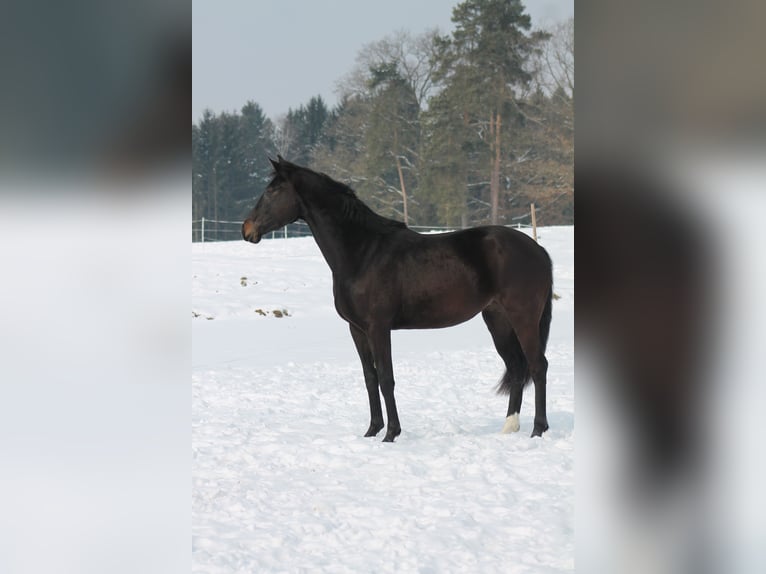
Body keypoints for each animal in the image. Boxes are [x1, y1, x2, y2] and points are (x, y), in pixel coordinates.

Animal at [243, 158, 556, 446]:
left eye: (273, 190)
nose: (247, 230)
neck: (362, 252)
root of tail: (538, 249)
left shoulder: (378, 328)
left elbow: (386, 378)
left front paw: (391, 434)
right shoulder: (357, 330)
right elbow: (370, 378)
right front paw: (371, 431)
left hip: (523, 318)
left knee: (537, 365)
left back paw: (538, 429)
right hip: (498, 320)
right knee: (516, 367)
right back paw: (509, 427)